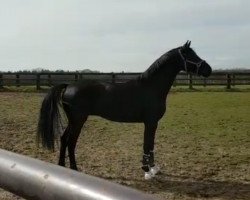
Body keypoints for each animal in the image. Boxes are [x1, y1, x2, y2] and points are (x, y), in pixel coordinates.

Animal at [37, 41, 212, 180]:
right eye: (190, 55)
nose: (208, 69)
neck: (151, 87)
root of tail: (68, 86)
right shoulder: (150, 122)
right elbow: (147, 144)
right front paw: (147, 170)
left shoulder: (152, 123)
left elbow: (151, 145)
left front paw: (153, 168)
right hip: (79, 120)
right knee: (70, 141)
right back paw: (74, 168)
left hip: (74, 120)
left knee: (64, 139)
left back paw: (62, 166)